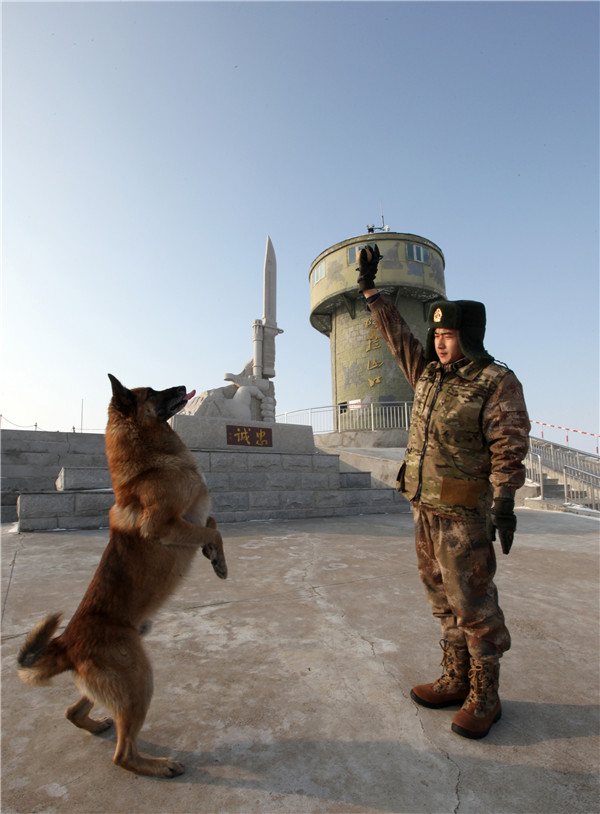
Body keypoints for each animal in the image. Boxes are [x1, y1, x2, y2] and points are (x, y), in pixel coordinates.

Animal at [17, 374, 227, 776]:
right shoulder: (164, 526)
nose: (183, 386)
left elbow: (210, 523)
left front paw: (213, 558)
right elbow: (214, 530)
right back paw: (158, 766)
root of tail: (66, 643)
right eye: (154, 392)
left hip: (118, 684)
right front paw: (218, 560)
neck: (151, 461)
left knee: (72, 711)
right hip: (139, 681)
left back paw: (95, 723)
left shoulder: (192, 518)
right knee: (123, 755)